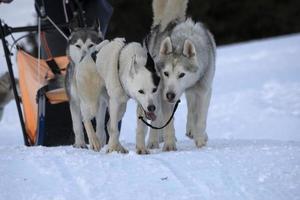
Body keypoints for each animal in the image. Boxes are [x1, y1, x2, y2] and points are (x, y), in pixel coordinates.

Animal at [145, 0, 216, 150]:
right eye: (166, 73)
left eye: (181, 74)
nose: (170, 95)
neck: (182, 40)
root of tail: (170, 21)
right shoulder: (164, 94)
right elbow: (168, 122)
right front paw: (169, 146)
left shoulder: (204, 91)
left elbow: (200, 118)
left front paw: (200, 142)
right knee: (156, 120)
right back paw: (154, 141)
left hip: (191, 93)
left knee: (192, 110)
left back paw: (193, 132)